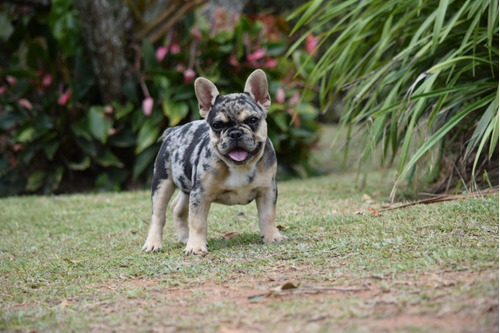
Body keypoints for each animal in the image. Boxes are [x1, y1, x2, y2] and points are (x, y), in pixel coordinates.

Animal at [143, 68, 288, 253]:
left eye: (252, 120)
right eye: (217, 125)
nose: (235, 133)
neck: (240, 166)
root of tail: (174, 130)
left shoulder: (267, 190)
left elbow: (268, 216)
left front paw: (272, 237)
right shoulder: (200, 194)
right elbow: (197, 222)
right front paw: (196, 247)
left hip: (187, 186)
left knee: (177, 208)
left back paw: (184, 238)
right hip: (162, 183)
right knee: (158, 215)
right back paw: (153, 243)